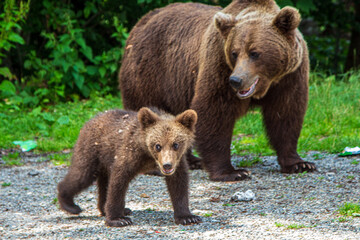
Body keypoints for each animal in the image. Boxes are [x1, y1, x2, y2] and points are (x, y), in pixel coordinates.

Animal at [119, 0, 316, 180]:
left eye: (255, 53)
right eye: (235, 53)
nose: (236, 80)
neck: (267, 84)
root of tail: (141, 22)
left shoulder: (290, 77)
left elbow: (285, 114)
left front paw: (300, 164)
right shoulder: (219, 65)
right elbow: (215, 112)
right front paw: (233, 172)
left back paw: (192, 161)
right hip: (150, 73)